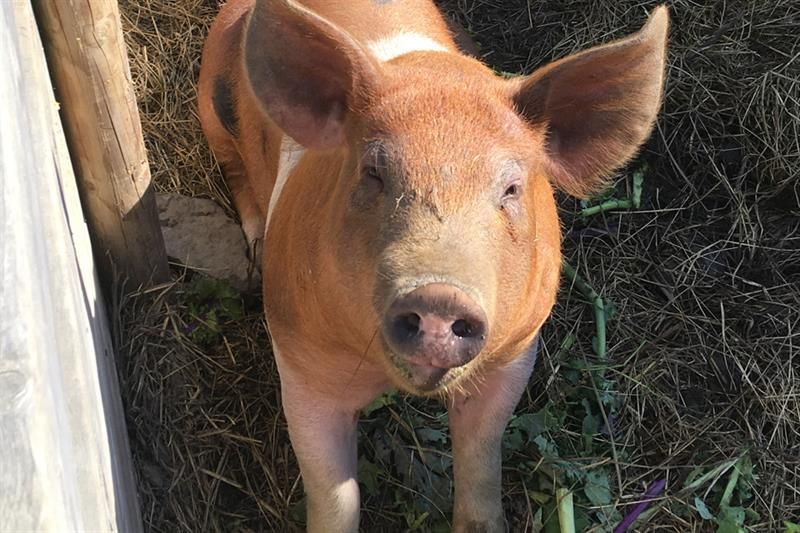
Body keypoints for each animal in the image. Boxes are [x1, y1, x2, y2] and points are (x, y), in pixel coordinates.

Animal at [197, 1, 668, 531]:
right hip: (211, 110)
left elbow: (481, 469)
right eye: (373, 173)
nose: (439, 295)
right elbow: (334, 499)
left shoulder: (515, 353)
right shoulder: (300, 367)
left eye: (510, 189)